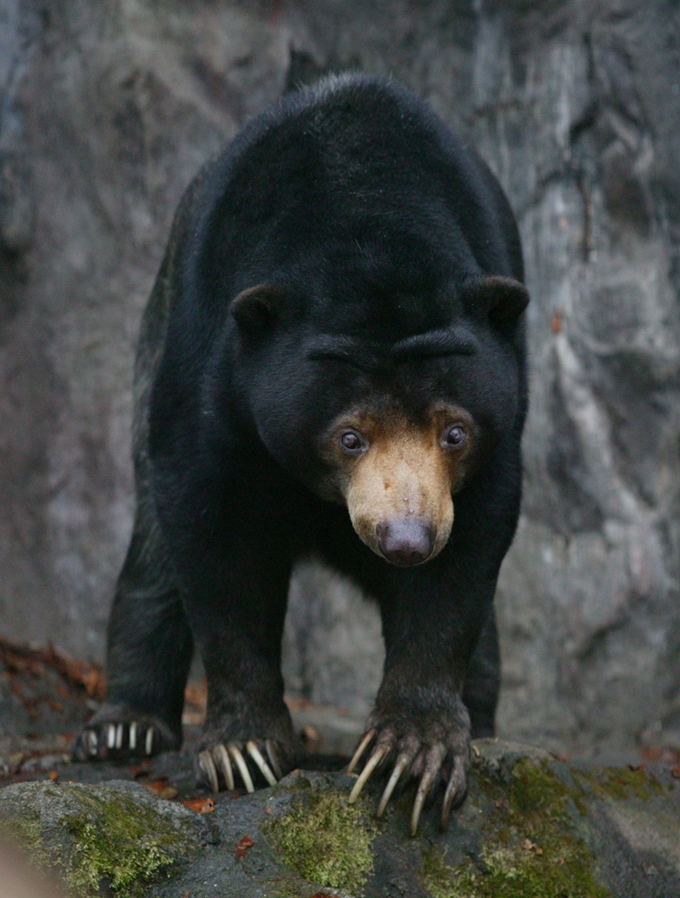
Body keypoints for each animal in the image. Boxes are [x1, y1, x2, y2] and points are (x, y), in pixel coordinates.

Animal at [75, 72, 532, 832]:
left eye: (454, 432)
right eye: (350, 435)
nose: (407, 540)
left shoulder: (498, 427)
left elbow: (465, 562)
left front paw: (413, 754)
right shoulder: (213, 357)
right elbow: (207, 525)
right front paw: (245, 750)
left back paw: (490, 723)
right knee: (152, 548)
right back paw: (123, 727)